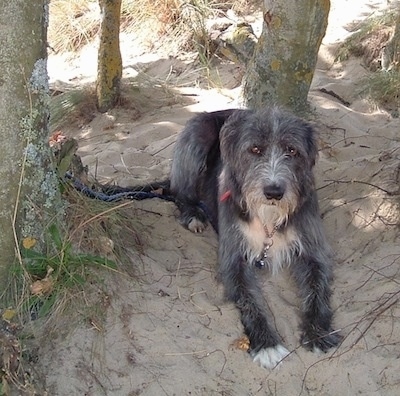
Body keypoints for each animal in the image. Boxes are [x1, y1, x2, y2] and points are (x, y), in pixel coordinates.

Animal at [170, 107, 342, 368]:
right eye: (255, 149)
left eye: (292, 150)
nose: (274, 192)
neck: (268, 219)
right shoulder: (233, 261)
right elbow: (249, 300)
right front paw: (266, 344)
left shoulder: (314, 252)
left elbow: (317, 290)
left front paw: (318, 334)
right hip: (197, 134)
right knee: (179, 192)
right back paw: (193, 214)